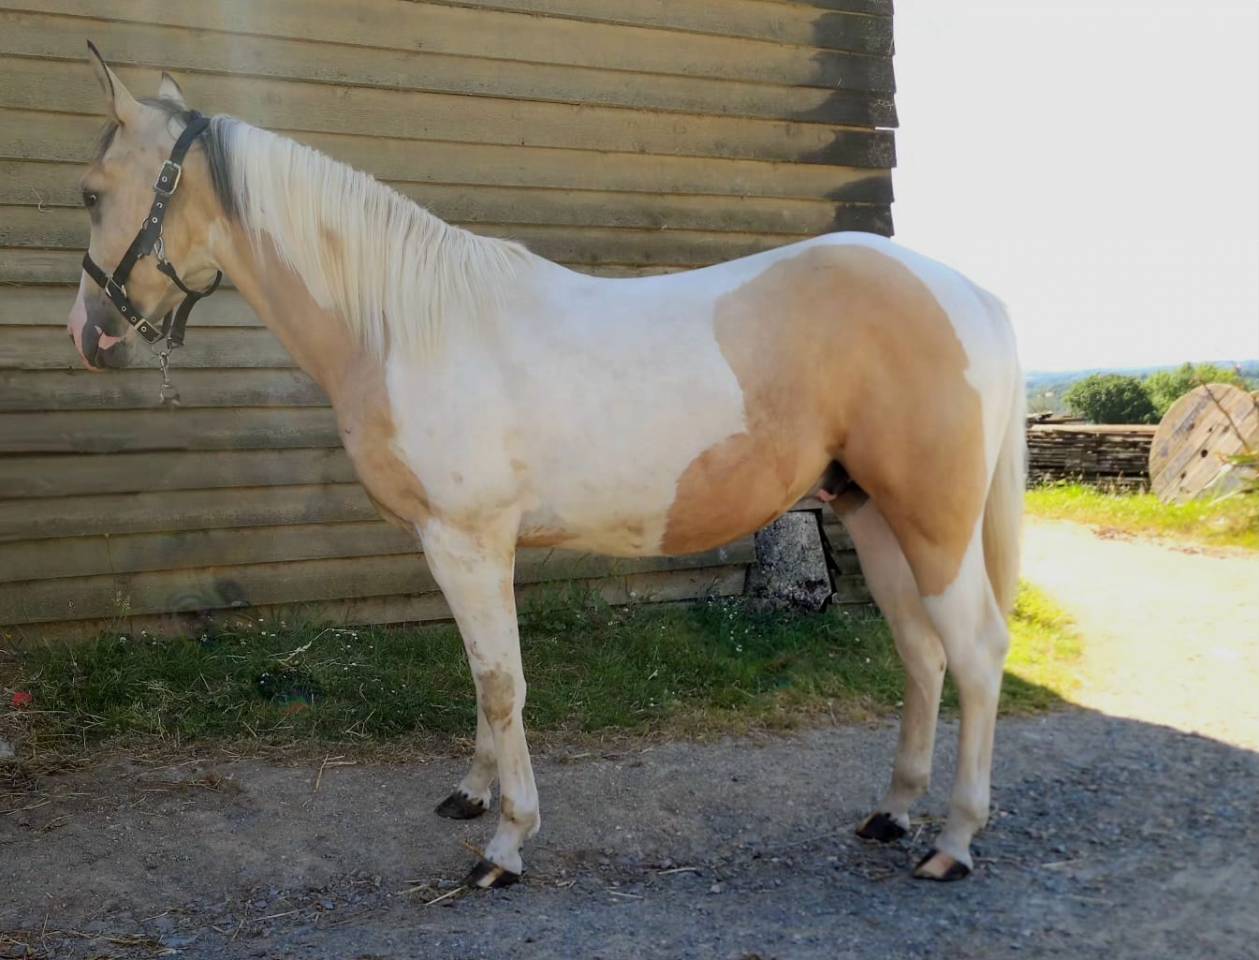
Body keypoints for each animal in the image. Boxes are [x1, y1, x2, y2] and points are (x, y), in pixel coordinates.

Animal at [67, 46, 1025, 888]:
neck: (408, 326)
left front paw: (506, 843)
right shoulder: (463, 548)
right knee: (920, 653)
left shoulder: (466, 541)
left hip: (931, 523)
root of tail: (967, 294)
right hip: (872, 512)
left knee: (975, 654)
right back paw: (892, 811)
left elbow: (501, 683)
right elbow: (484, 675)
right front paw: (473, 794)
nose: (86, 335)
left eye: (90, 192)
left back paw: (953, 842)